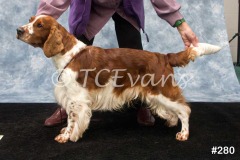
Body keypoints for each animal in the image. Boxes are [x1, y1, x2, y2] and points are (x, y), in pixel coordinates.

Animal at [15, 15, 220, 144]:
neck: (68, 54)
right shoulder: (70, 96)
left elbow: (72, 120)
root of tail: (163, 56)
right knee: (173, 110)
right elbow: (68, 120)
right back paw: (170, 122)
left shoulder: (76, 99)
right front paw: (65, 133)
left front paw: (66, 137)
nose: (18, 30)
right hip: (155, 94)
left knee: (184, 109)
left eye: (39, 25)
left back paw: (183, 133)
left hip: (162, 89)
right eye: (30, 20)